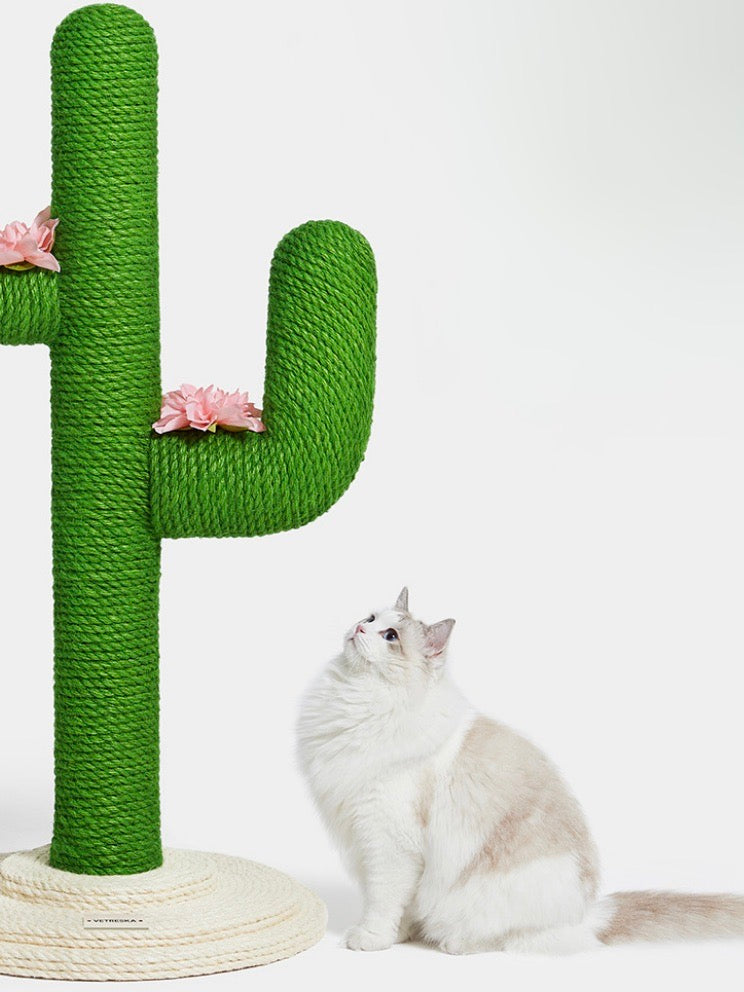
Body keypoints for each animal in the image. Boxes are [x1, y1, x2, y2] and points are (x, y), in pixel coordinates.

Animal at [296, 588, 744, 952]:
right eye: (371, 619)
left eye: (390, 637)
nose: (359, 627)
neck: (356, 700)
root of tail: (589, 914)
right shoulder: (374, 841)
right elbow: (400, 907)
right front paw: (400, 936)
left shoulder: (388, 843)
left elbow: (383, 901)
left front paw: (371, 939)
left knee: (505, 937)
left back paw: (453, 943)